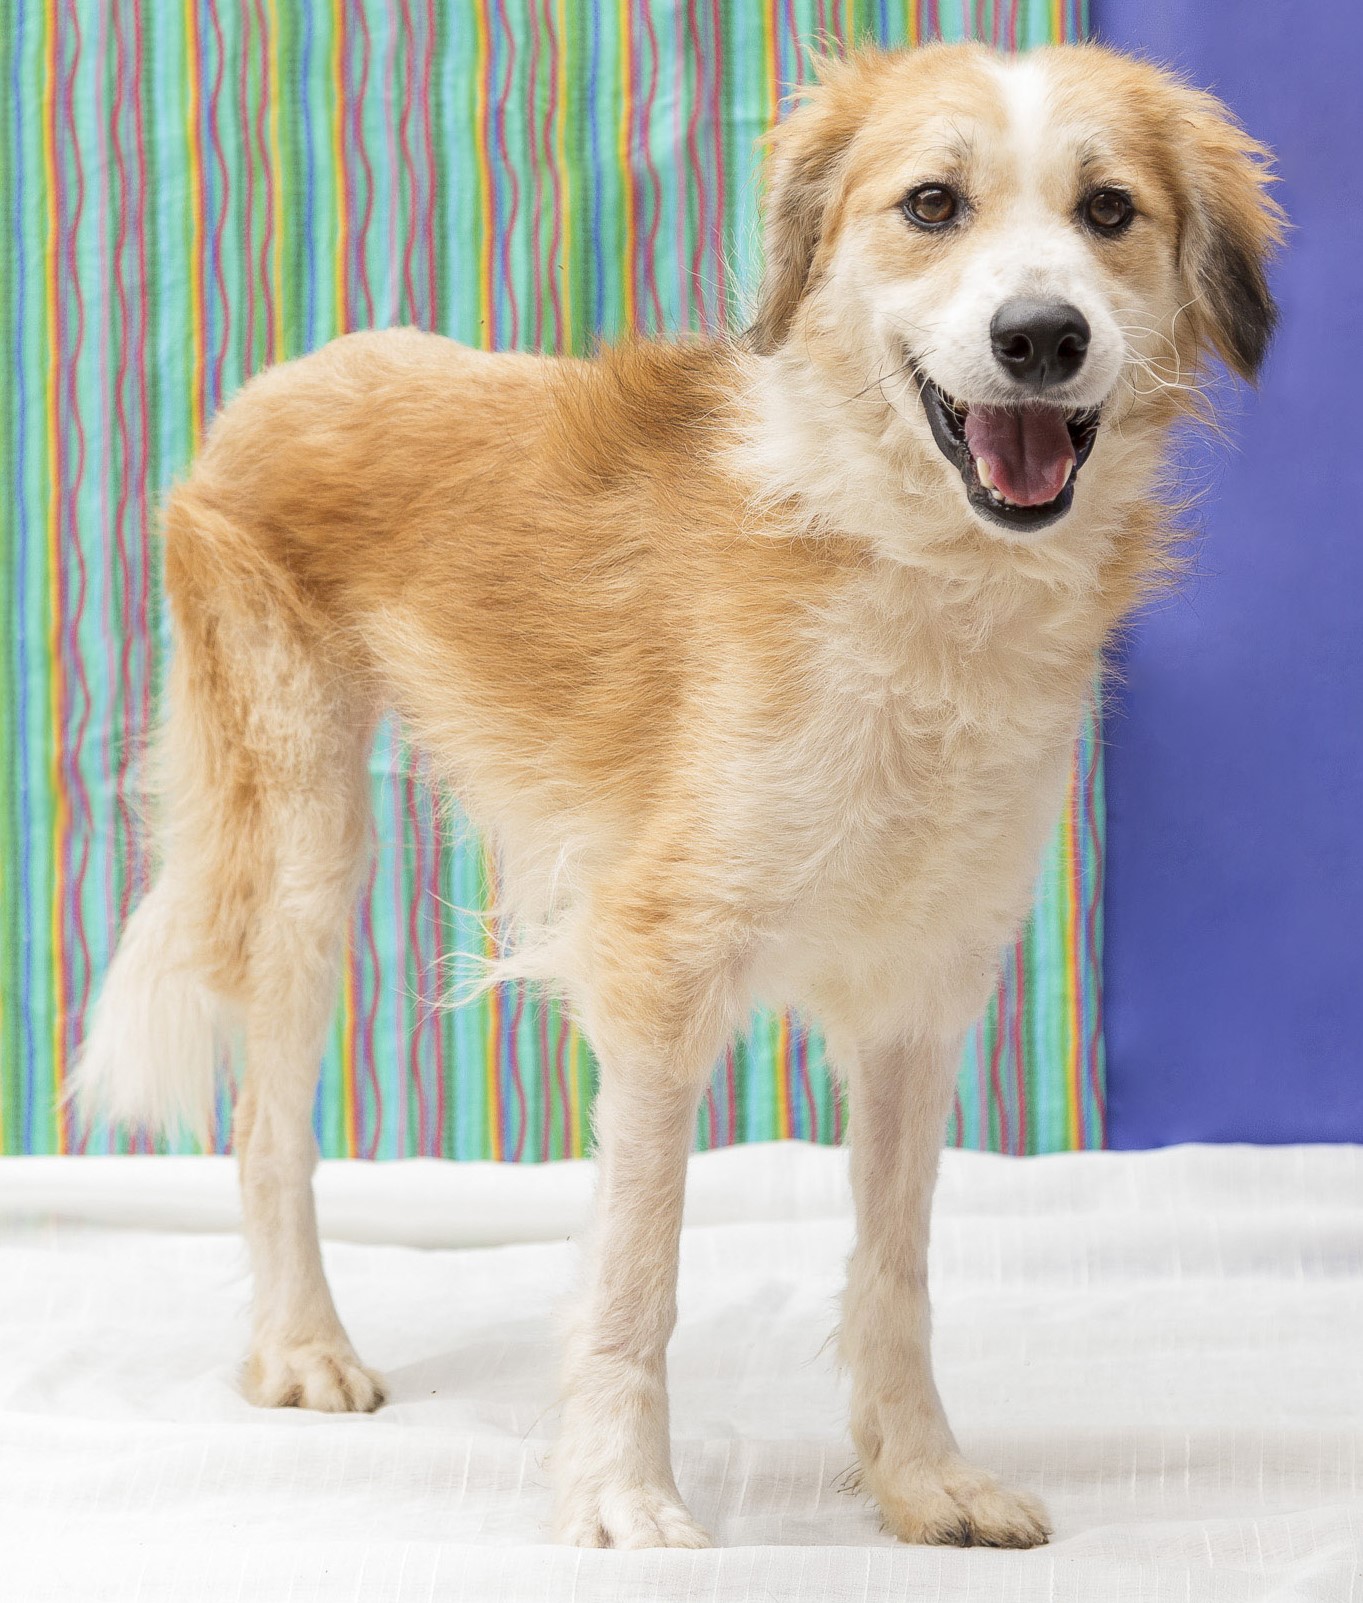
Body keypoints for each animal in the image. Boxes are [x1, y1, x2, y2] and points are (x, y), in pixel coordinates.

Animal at [74, 40, 1282, 1550]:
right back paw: (301, 1344)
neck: (908, 562)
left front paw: (918, 1476)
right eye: (931, 204)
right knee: (265, 1125)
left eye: (1107, 210)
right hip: (300, 843)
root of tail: (291, 371)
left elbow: (894, 1267)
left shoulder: (921, 988)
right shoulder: (657, 966)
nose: (1039, 338)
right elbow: (635, 1269)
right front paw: (620, 1494)